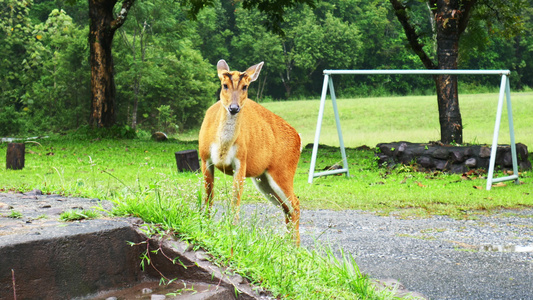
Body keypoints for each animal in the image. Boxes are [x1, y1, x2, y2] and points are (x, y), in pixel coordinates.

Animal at [198, 59, 302, 245]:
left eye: (245, 87)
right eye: (224, 85)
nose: (234, 108)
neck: (222, 147)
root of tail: (299, 139)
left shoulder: (241, 160)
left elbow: (235, 200)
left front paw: (232, 230)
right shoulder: (205, 158)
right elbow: (209, 196)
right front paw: (206, 224)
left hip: (283, 171)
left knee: (295, 204)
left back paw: (295, 248)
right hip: (264, 179)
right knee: (286, 208)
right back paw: (288, 245)